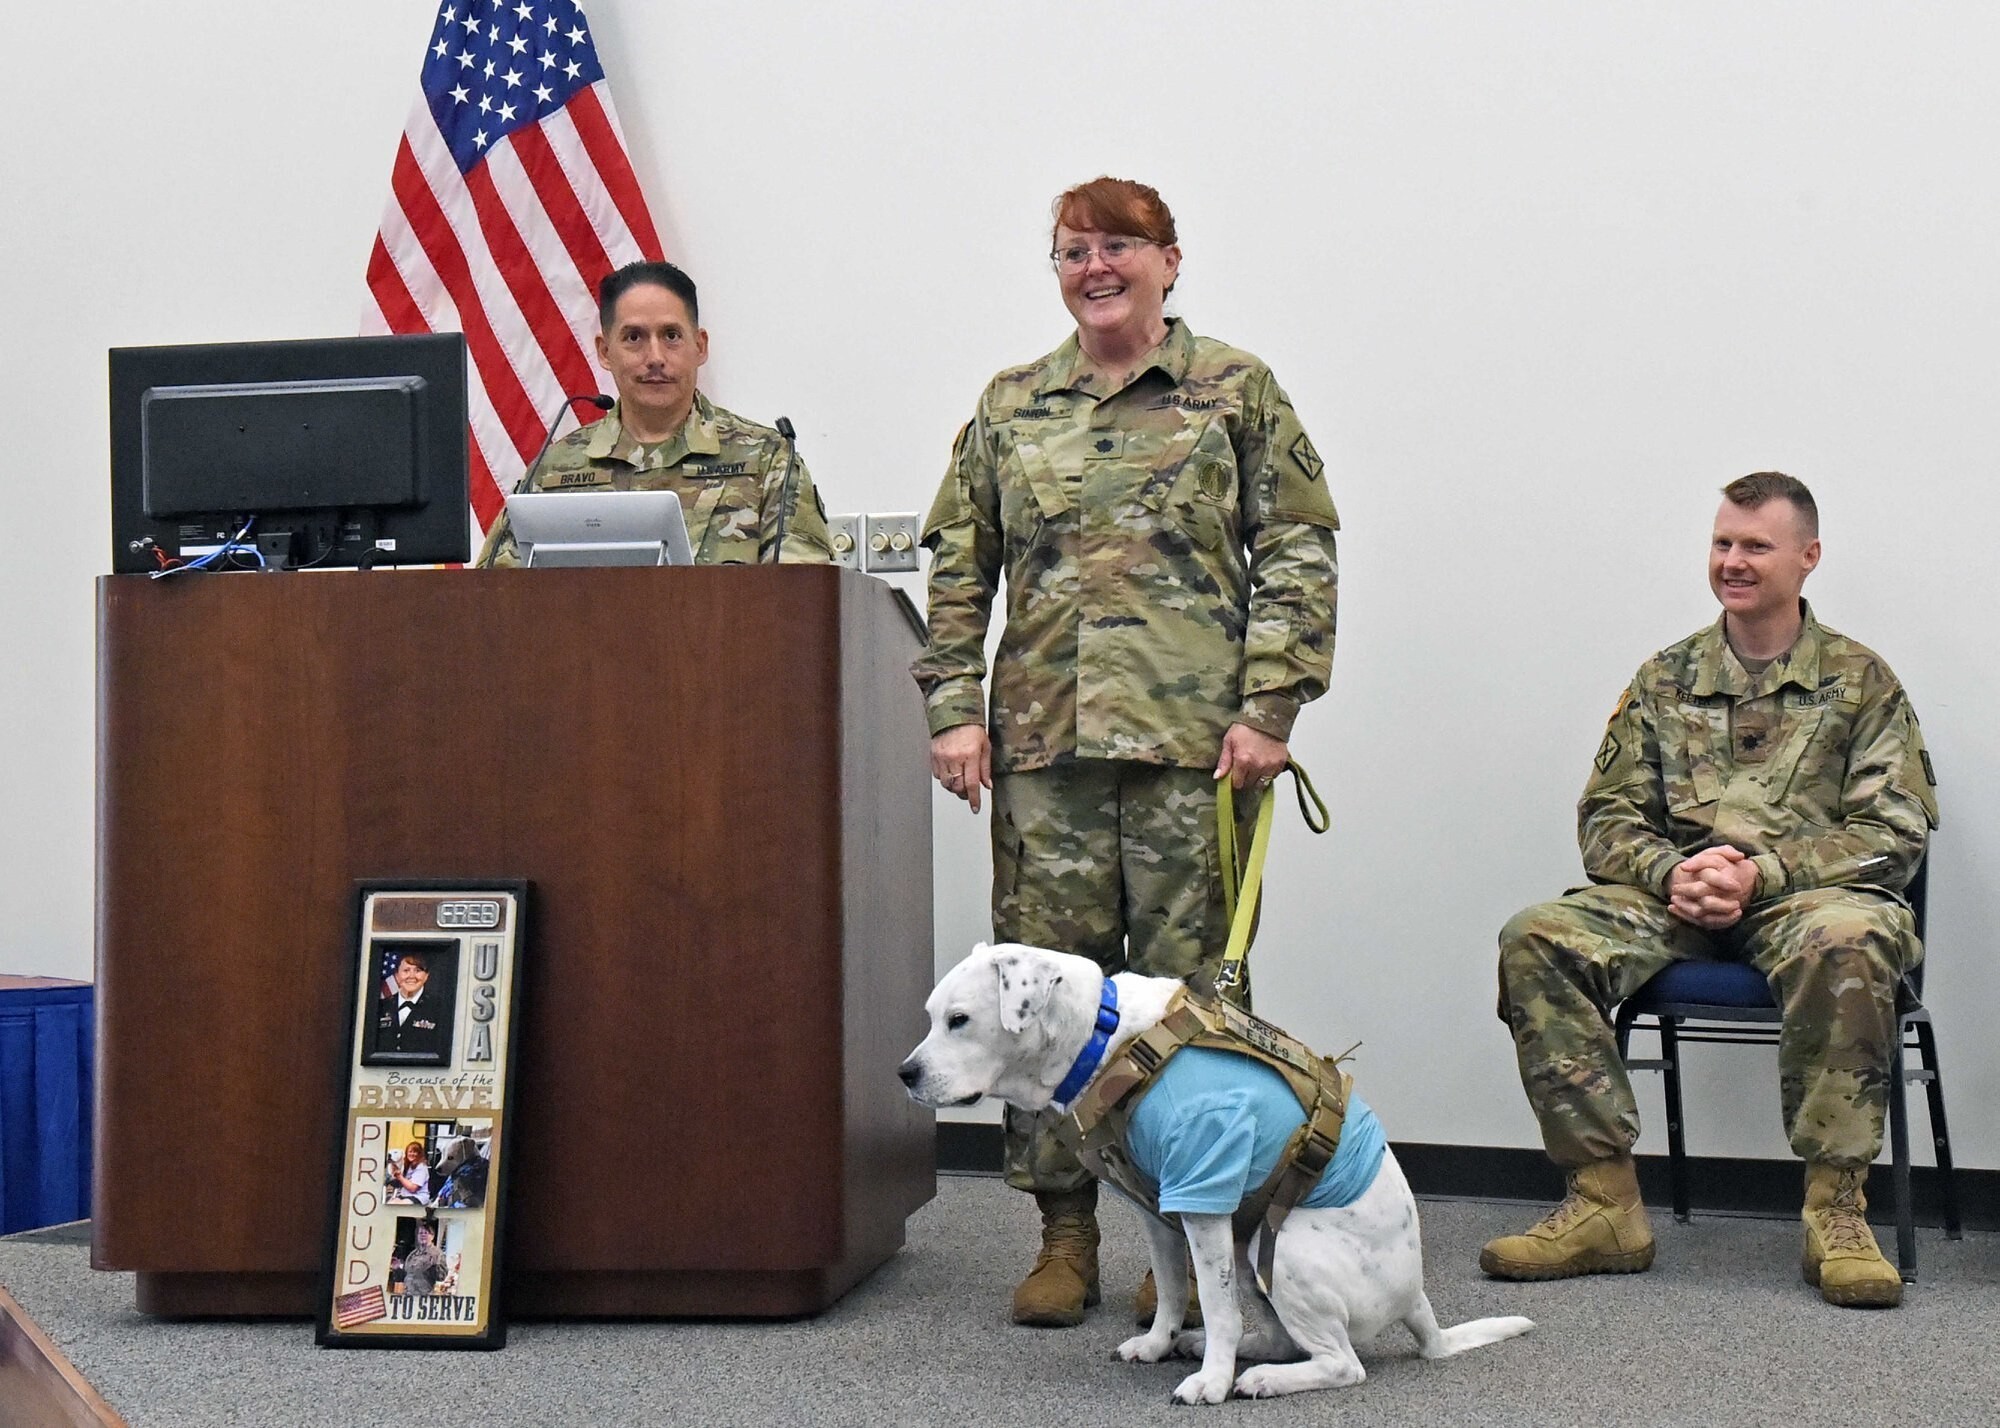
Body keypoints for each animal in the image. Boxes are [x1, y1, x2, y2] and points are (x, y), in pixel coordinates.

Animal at [900, 940, 1536, 1400]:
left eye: (960, 1019)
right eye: (930, 1016)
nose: (904, 1073)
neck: (1106, 1039)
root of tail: (1417, 1301)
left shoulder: (1205, 1193)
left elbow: (1215, 1300)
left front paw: (1211, 1381)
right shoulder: (1162, 1206)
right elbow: (1173, 1289)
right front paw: (1159, 1344)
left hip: (1277, 1248)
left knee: (1342, 1363)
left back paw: (1258, 1378)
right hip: (1249, 1251)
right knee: (1283, 1338)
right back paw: (1227, 1349)